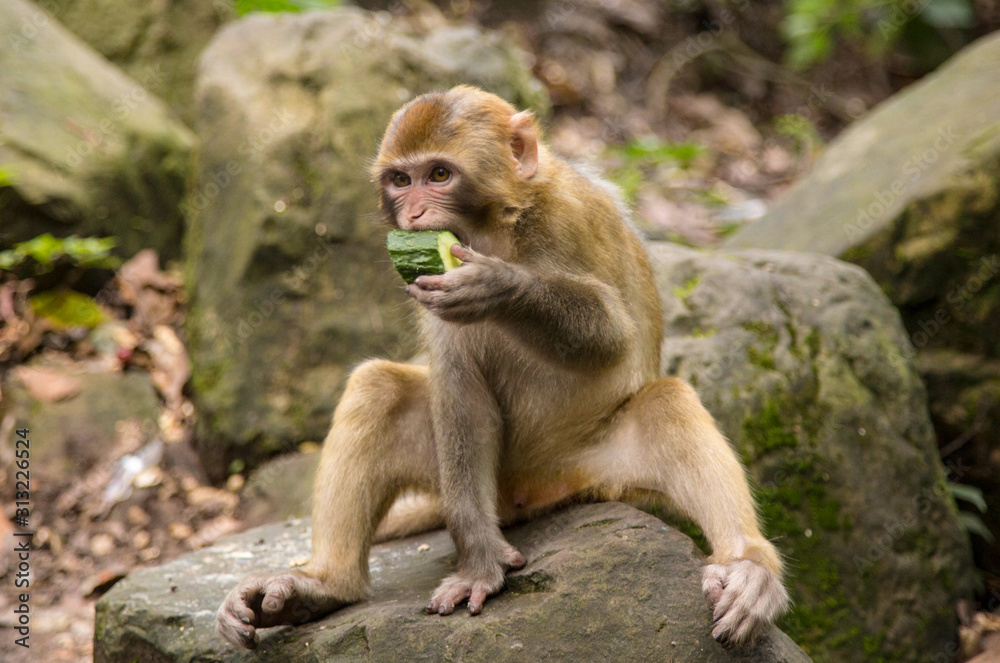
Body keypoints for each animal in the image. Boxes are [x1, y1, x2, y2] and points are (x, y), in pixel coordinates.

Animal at [219, 85, 788, 652]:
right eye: (401, 181)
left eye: (439, 175)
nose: (415, 214)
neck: (495, 225)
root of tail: (534, 488)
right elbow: (460, 388)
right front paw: (479, 564)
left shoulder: (569, 219)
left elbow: (612, 336)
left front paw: (500, 286)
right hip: (467, 476)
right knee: (377, 387)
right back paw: (323, 586)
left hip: (604, 469)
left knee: (666, 403)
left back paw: (748, 565)